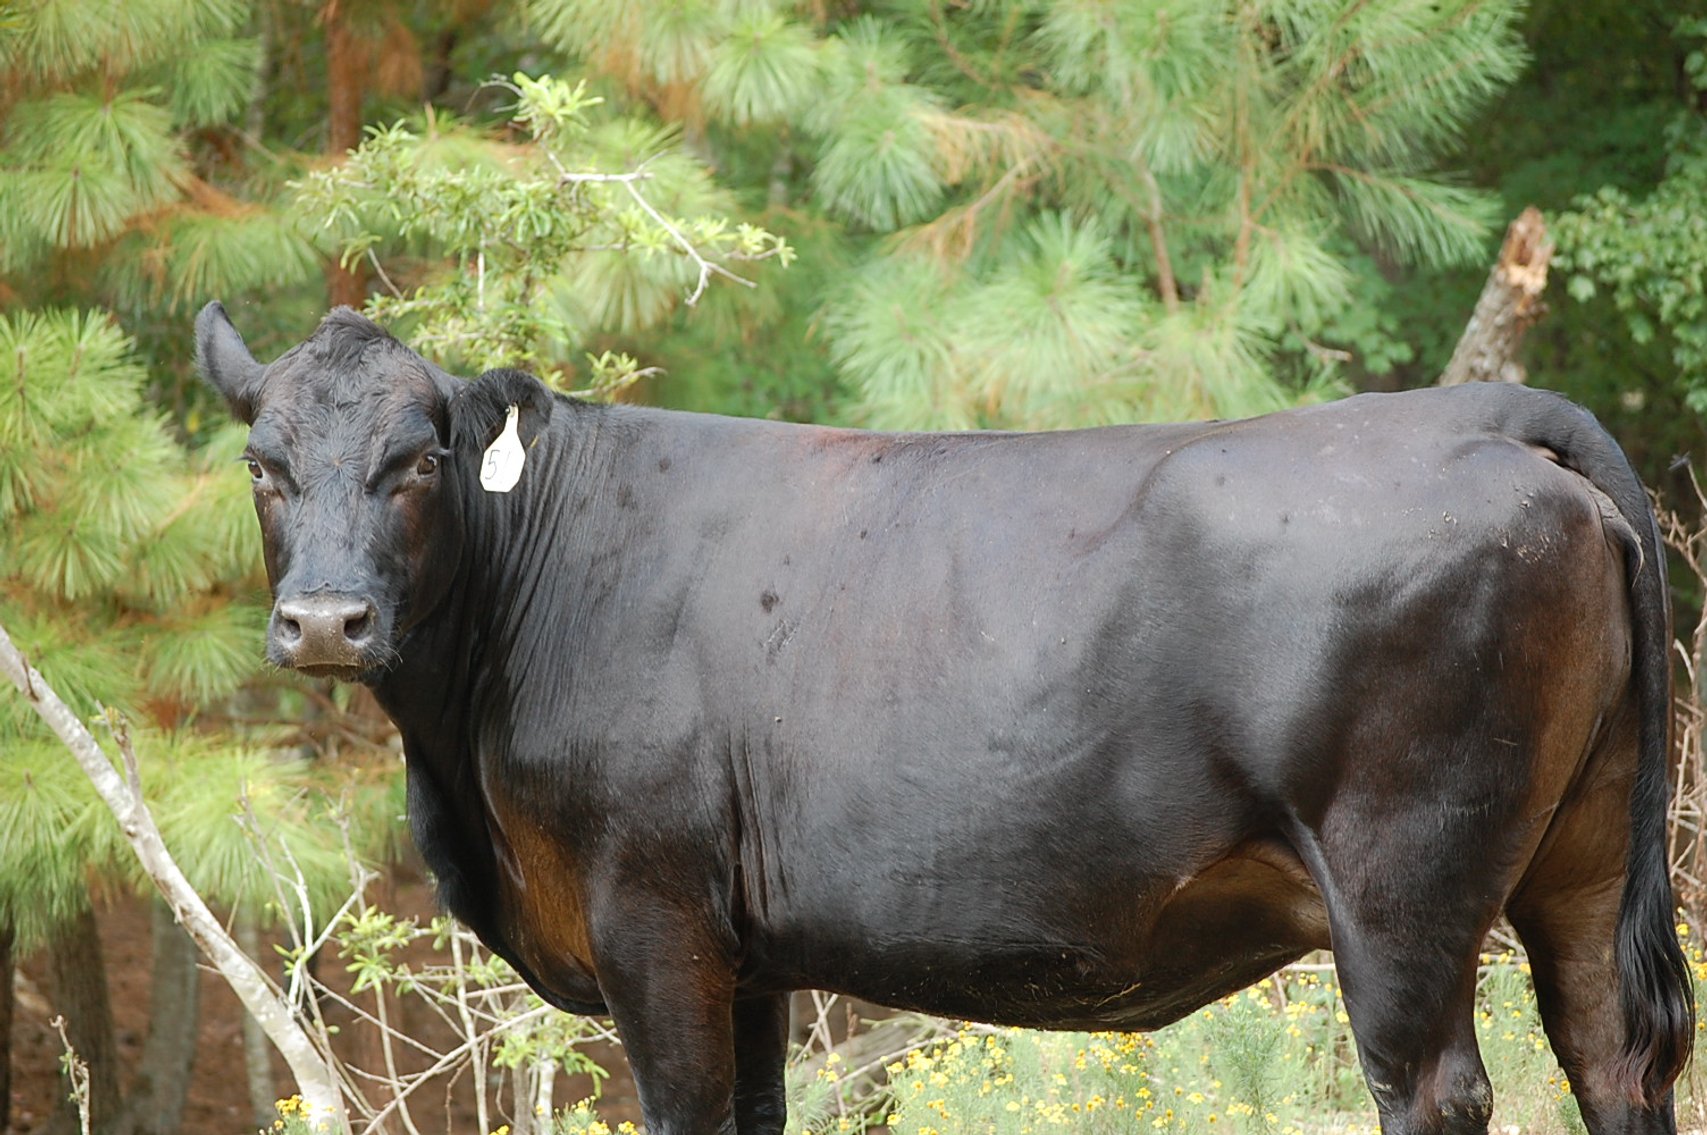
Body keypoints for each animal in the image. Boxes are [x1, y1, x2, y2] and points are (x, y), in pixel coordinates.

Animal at [197, 300, 1692, 1135]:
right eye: (262, 465)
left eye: (417, 460)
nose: (325, 621)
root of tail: (1478, 412)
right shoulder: (743, 951)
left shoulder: (649, 911)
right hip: (1577, 862)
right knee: (1613, 1053)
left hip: (1402, 885)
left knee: (1435, 1087)